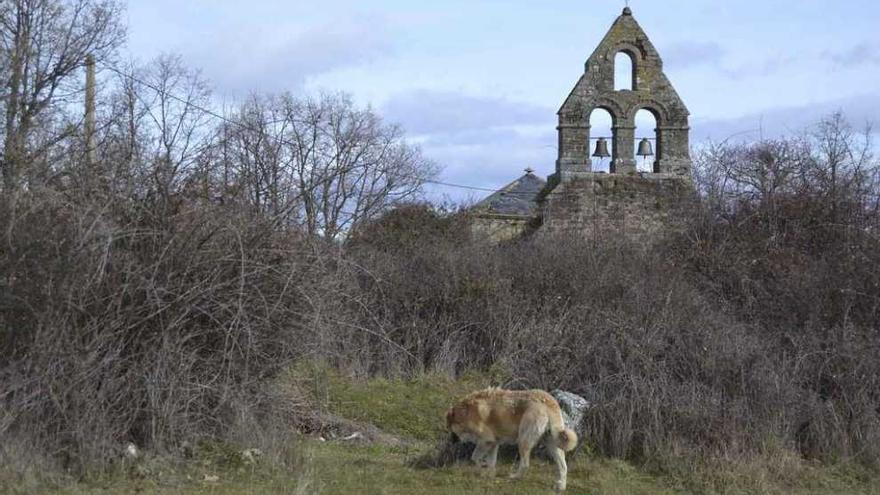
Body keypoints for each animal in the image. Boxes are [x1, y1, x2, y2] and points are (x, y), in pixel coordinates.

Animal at [446, 388, 576, 492]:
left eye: (450, 429)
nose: (450, 442)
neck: (466, 412)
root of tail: (548, 401)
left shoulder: (486, 441)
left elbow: (474, 457)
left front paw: (481, 469)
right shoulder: (493, 443)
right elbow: (491, 462)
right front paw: (489, 475)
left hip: (523, 441)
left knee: (525, 464)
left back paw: (515, 477)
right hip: (552, 445)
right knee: (563, 466)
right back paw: (561, 486)